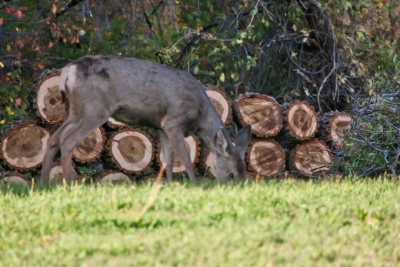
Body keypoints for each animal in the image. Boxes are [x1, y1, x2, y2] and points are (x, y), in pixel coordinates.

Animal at [41, 55, 253, 183]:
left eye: (244, 173)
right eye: (232, 174)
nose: (237, 186)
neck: (199, 116)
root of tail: (67, 73)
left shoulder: (162, 127)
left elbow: (168, 159)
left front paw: (170, 185)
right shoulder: (174, 121)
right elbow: (184, 158)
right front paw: (194, 184)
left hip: (74, 110)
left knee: (54, 138)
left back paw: (45, 183)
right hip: (94, 109)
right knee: (67, 140)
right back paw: (69, 183)